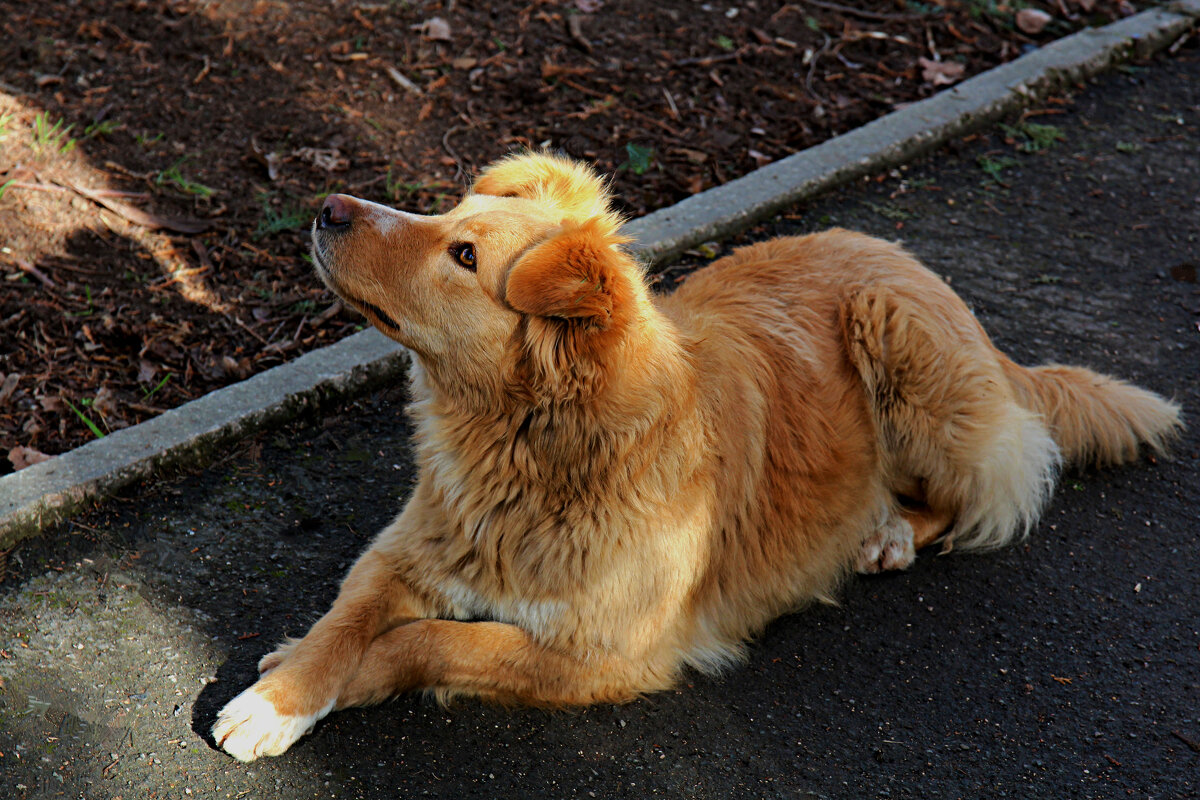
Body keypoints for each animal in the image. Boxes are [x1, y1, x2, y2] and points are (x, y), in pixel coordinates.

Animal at [213, 151, 1180, 762]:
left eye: (462, 252)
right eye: (450, 213)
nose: (328, 207)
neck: (525, 452)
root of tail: (906, 258)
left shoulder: (604, 654)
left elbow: (429, 641)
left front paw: (289, 695)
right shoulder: (408, 547)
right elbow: (350, 619)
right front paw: (288, 686)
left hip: (907, 354)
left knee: (979, 492)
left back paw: (888, 533)